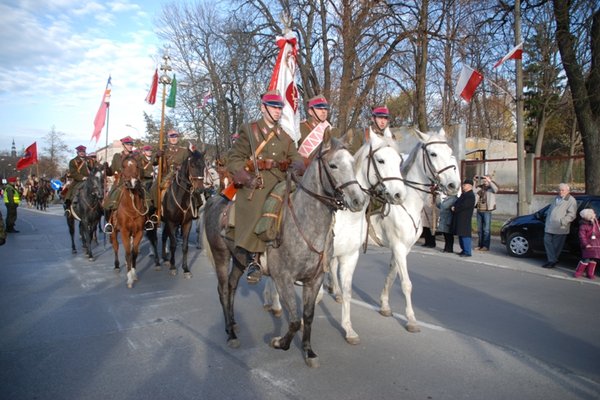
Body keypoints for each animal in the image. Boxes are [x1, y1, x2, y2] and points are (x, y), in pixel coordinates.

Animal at [109, 154, 158, 288]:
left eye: (137, 166)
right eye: (123, 166)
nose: (131, 183)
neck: (131, 207)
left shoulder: (139, 232)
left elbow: (134, 253)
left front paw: (134, 274)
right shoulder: (124, 232)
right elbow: (127, 253)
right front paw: (129, 278)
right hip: (113, 232)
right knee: (115, 247)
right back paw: (117, 266)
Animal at [328, 128, 460, 344]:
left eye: (450, 152)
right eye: (433, 154)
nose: (453, 185)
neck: (408, 202)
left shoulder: (403, 249)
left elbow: (392, 276)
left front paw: (384, 306)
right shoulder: (398, 246)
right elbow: (406, 283)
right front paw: (411, 320)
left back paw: (336, 291)